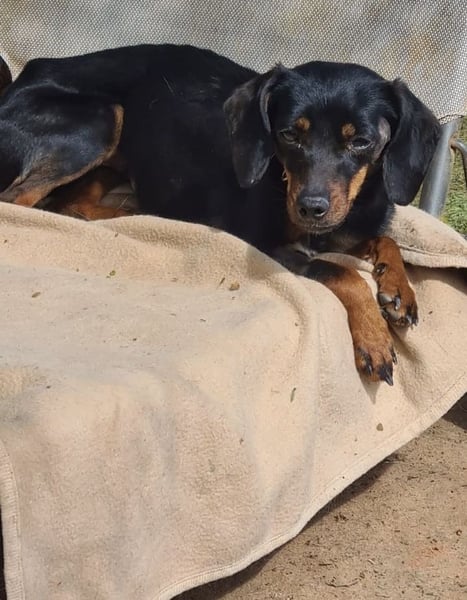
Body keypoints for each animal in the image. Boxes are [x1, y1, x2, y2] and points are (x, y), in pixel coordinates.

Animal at [0, 45, 441, 383]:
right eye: (288, 134)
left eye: (361, 141)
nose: (310, 209)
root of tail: (28, 73)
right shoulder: (264, 244)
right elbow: (341, 272)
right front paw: (374, 338)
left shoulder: (344, 229)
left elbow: (387, 239)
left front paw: (399, 291)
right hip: (102, 118)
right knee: (19, 201)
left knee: (68, 204)